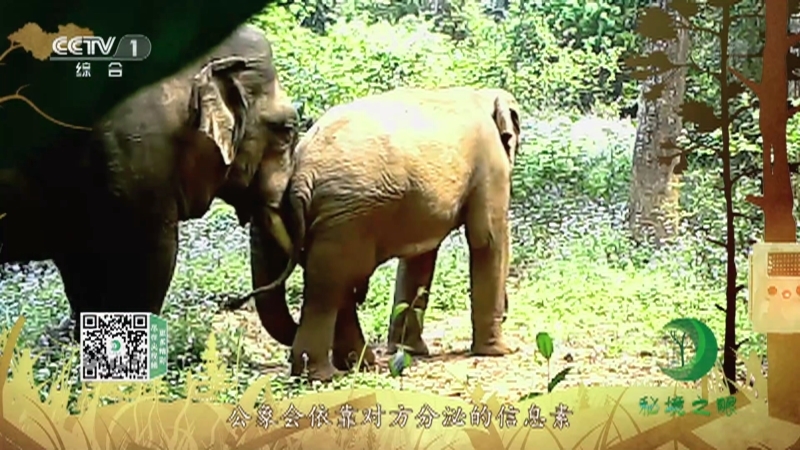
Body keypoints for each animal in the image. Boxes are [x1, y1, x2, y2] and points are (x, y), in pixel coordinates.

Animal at [225, 86, 522, 381]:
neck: (482, 93)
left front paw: (410, 351)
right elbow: (487, 238)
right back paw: (325, 374)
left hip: (337, 220)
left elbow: (419, 259)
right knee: (331, 286)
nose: (508, 310)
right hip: (347, 218)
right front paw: (501, 351)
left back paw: (357, 364)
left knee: (334, 284)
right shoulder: (490, 161)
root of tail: (302, 173)